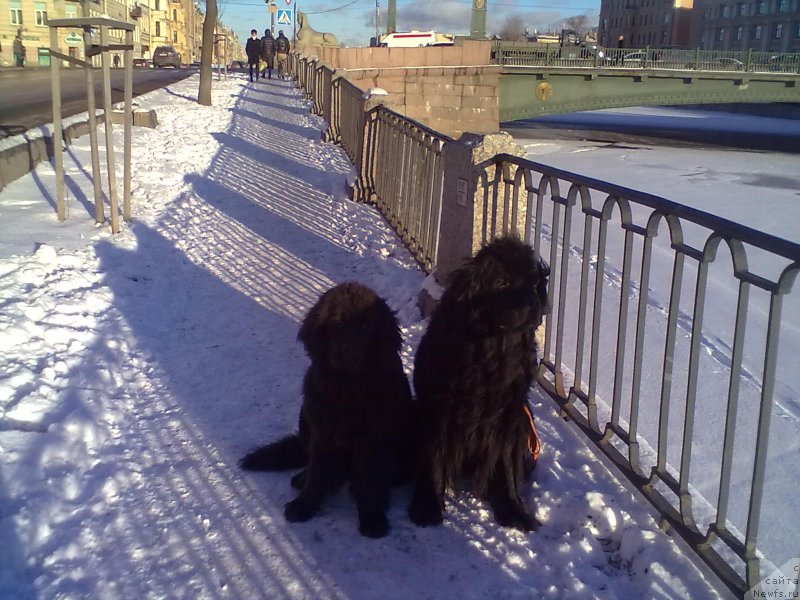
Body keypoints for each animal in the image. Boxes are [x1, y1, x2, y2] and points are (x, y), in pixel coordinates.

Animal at [238, 282, 412, 540]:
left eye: (365, 326)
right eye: (337, 323)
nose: (348, 350)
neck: (347, 388)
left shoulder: (372, 439)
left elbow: (369, 480)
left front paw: (372, 517)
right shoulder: (322, 432)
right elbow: (317, 471)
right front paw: (304, 505)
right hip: (306, 414)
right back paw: (302, 478)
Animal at [406, 234, 552, 528]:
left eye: (532, 282)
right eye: (502, 283)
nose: (533, 303)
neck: (493, 350)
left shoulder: (509, 415)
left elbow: (505, 464)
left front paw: (513, 510)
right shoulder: (437, 409)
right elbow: (433, 455)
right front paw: (427, 505)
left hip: (525, 421)